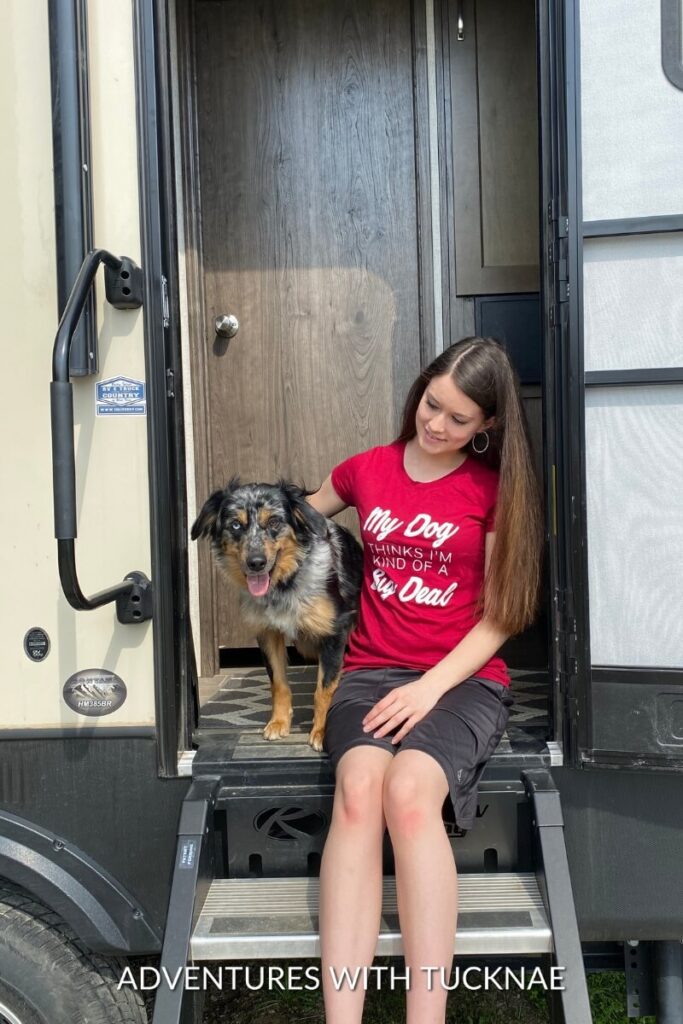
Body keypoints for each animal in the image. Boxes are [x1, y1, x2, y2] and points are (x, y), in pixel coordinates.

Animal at [192, 479, 362, 753]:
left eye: (274, 522)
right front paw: (279, 723)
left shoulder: (335, 632)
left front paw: (321, 732)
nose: (256, 562)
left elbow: (324, 689)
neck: (285, 584)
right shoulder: (267, 632)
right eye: (235, 525)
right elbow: (279, 683)